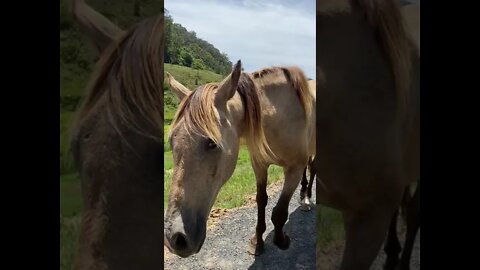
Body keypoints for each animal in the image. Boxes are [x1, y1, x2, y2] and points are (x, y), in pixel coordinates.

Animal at [163, 61, 316, 258]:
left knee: (312, 170)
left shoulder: (294, 168)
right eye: (171, 141)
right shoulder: (259, 165)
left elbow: (280, 211)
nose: (175, 238)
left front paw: (281, 240)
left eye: (212, 143)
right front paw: (257, 241)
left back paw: (306, 200)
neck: (280, 114)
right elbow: (261, 201)